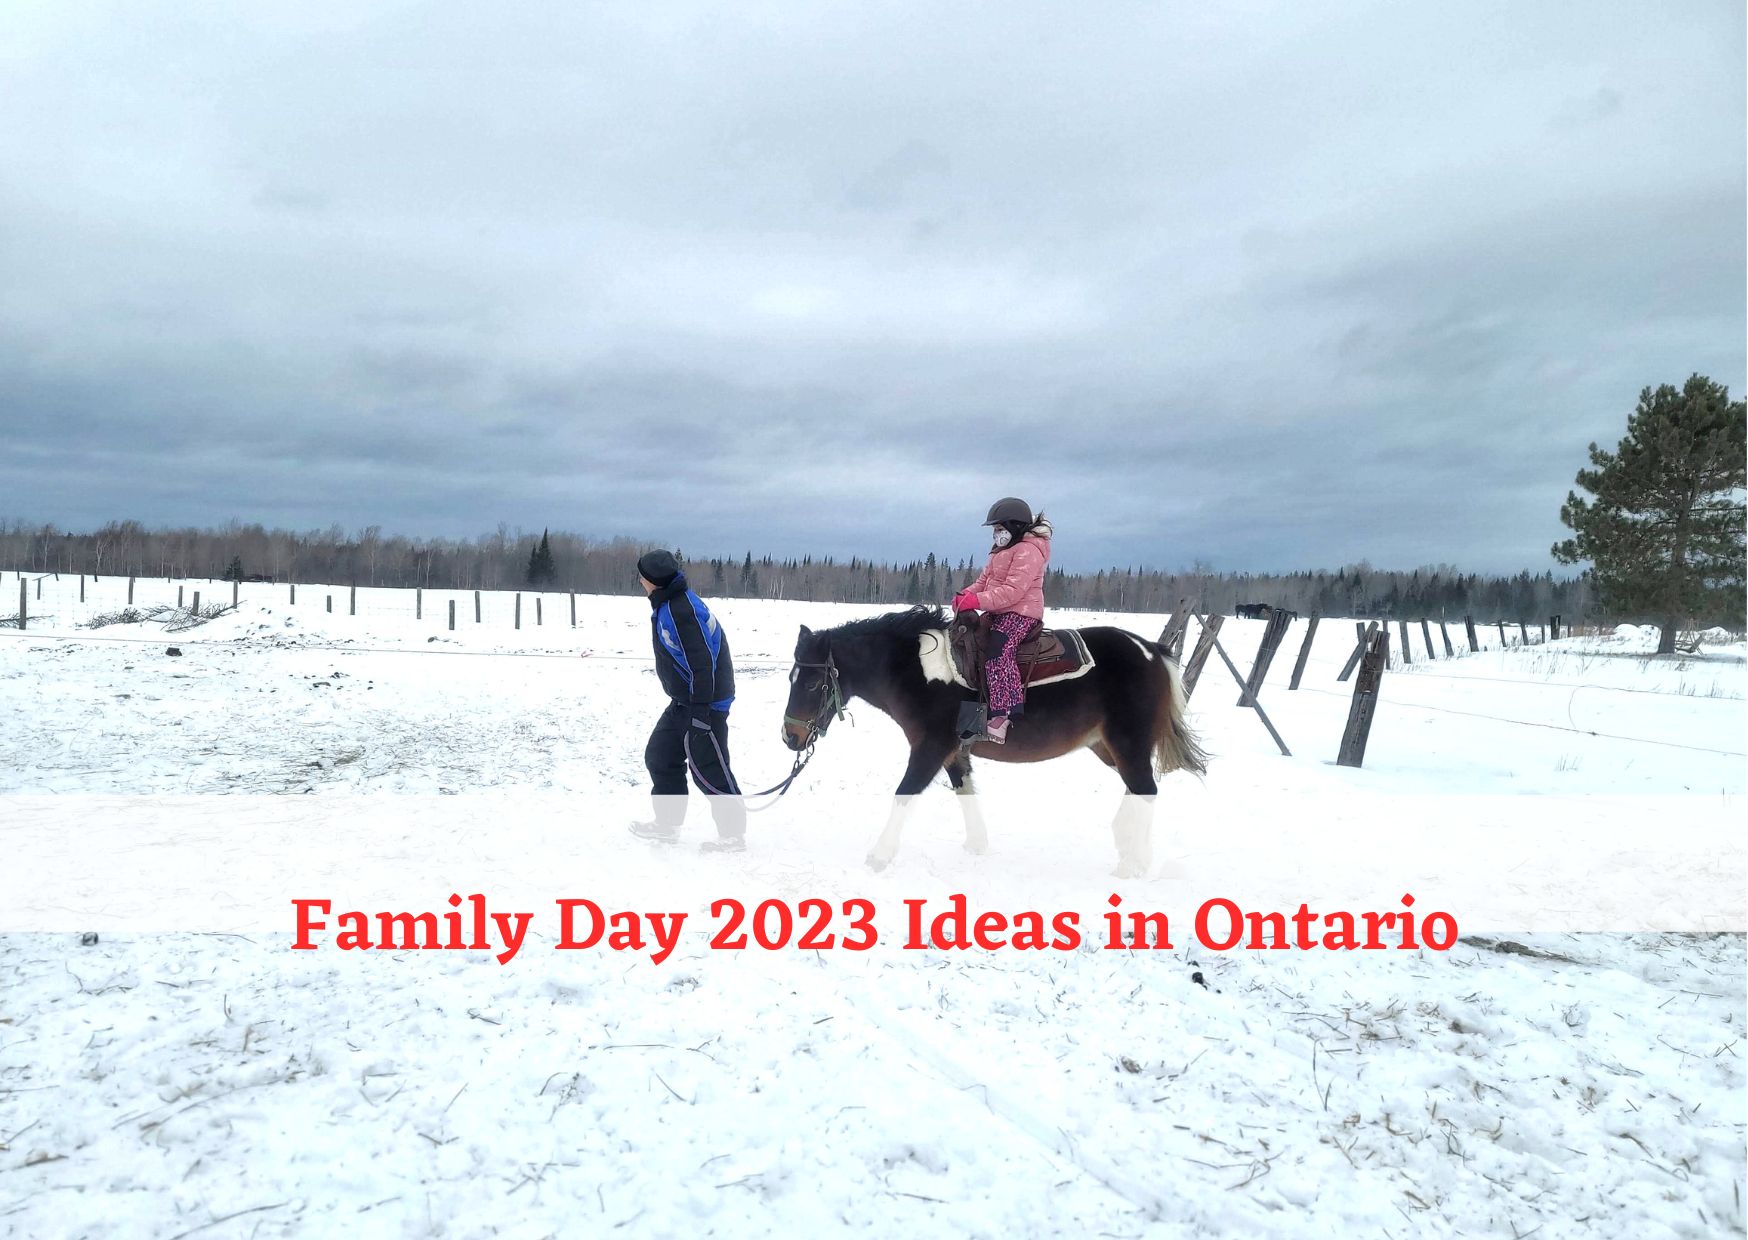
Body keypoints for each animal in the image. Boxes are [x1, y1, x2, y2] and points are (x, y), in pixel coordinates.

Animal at [786, 605, 1209, 867]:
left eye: (811, 684)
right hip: (1107, 746)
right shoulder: (953, 750)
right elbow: (966, 791)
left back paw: (1134, 863)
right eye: (793, 678)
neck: (915, 670)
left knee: (1145, 789)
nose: (790, 736)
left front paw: (879, 856)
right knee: (1137, 788)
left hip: (1127, 742)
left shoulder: (930, 747)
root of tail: (1152, 651)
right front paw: (977, 845)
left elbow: (904, 795)